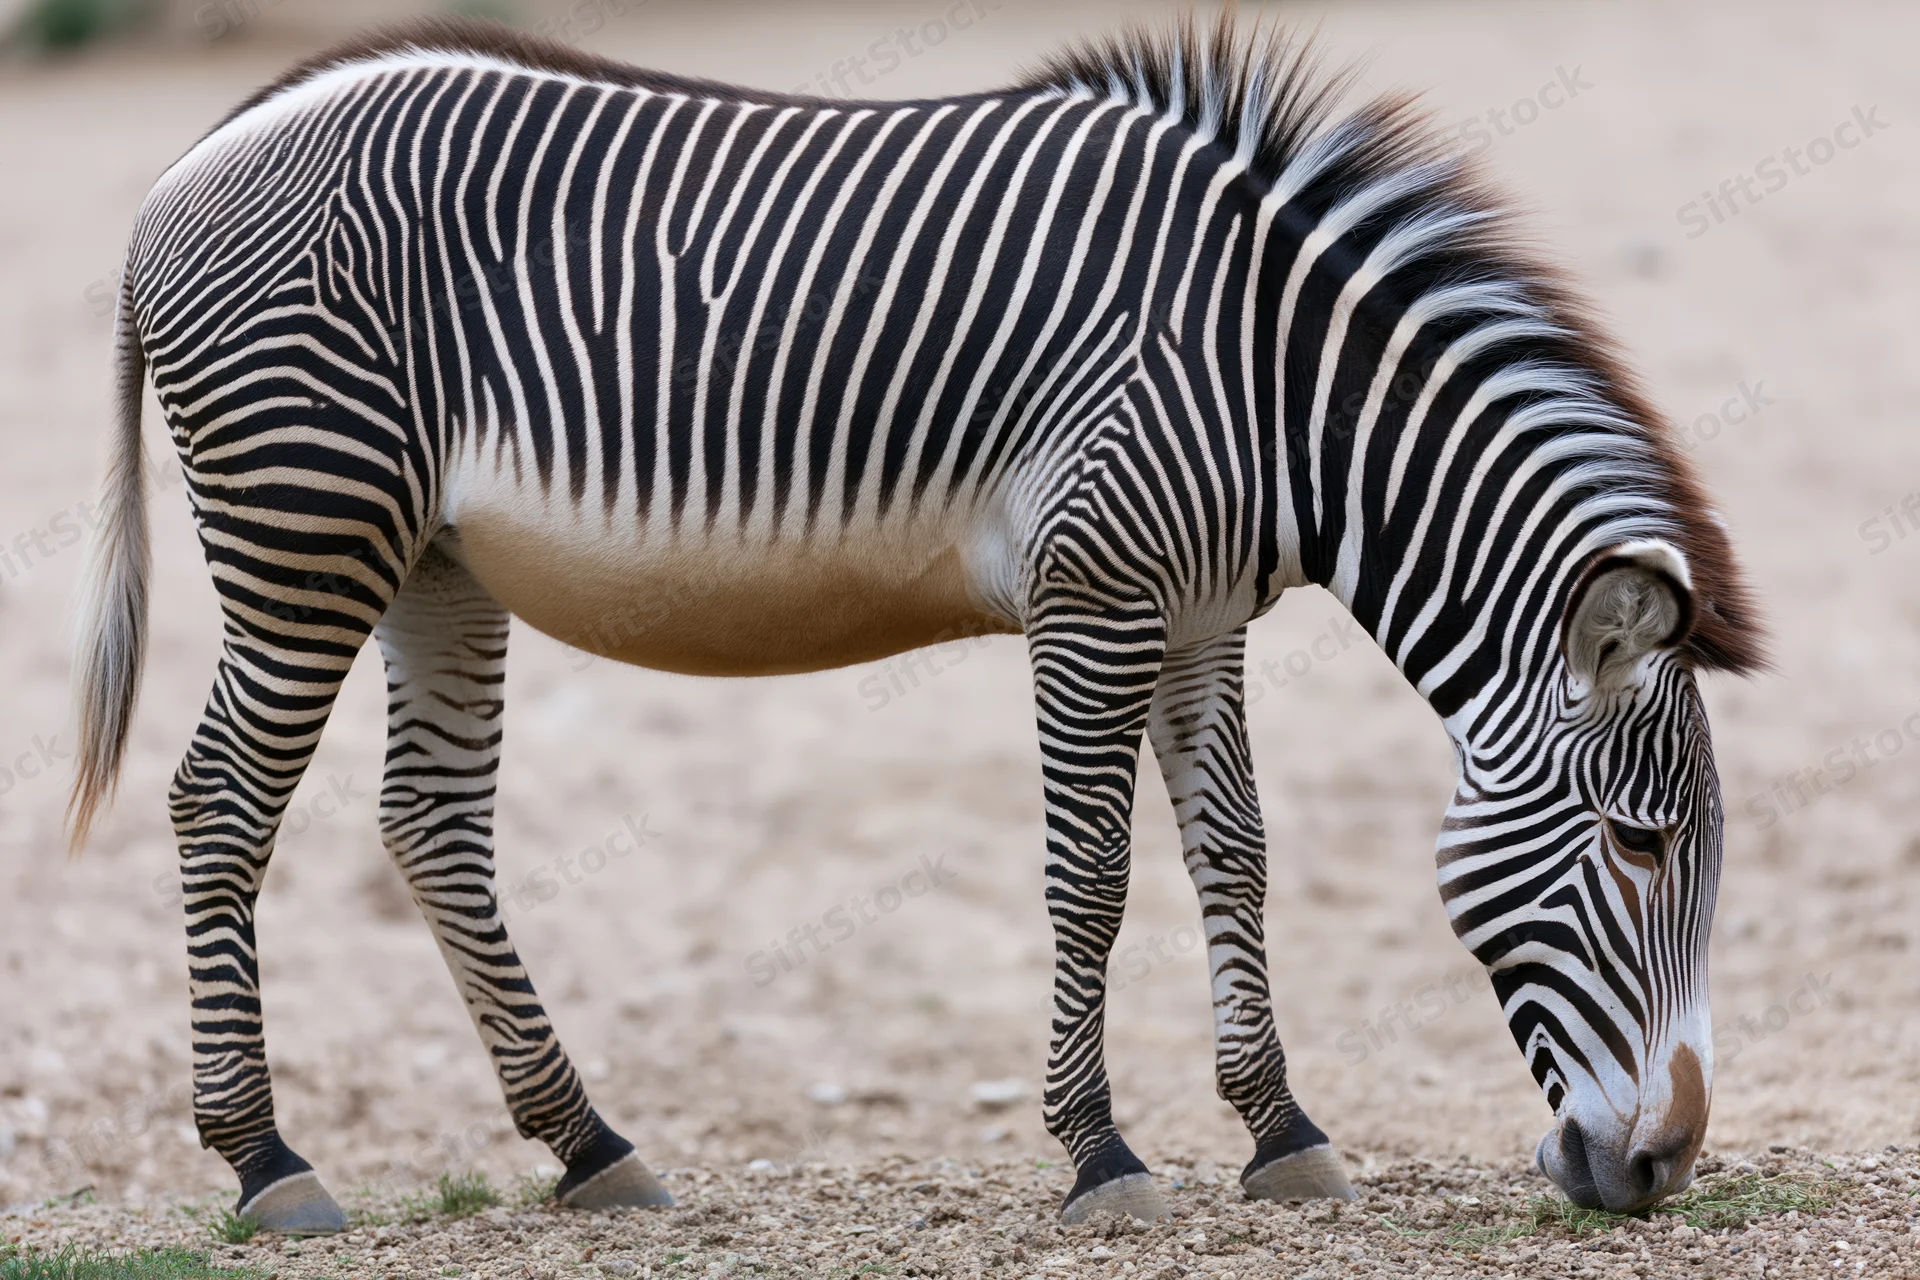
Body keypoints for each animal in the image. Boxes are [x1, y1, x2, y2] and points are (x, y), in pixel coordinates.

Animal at [67, 15, 1763, 1232]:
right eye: (1641, 845)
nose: (1664, 1170)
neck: (1268, 383)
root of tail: (189, 163)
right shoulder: (1098, 597)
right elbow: (1093, 878)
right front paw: (1100, 1156)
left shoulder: (1200, 615)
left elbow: (1238, 854)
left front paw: (1280, 1128)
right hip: (310, 522)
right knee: (221, 802)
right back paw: (268, 1162)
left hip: (431, 559)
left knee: (428, 823)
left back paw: (588, 1144)